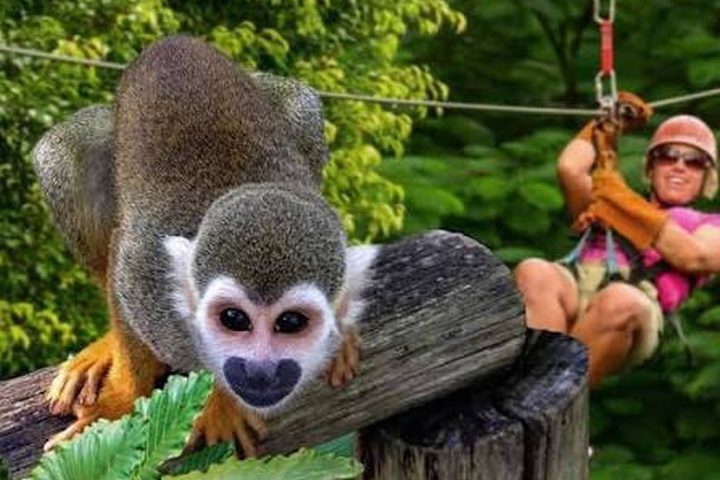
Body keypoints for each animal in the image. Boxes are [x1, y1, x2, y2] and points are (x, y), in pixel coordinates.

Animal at [33, 35, 378, 455]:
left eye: (293, 324)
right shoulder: (147, 272)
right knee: (60, 156)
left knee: (302, 107)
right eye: (234, 320)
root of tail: (174, 41)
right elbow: (122, 277)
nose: (265, 369)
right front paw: (120, 400)